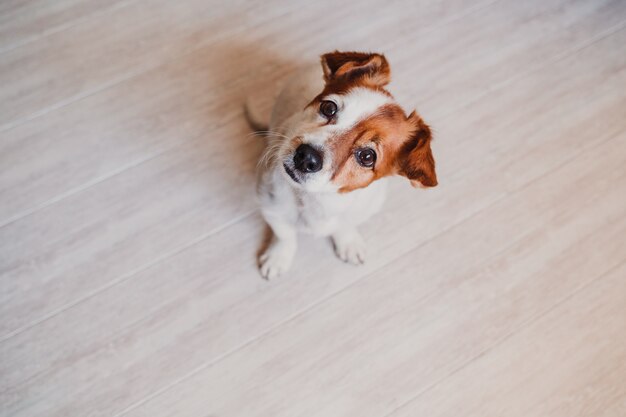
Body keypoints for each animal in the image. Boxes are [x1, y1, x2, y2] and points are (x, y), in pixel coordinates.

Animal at [251, 51, 436, 280]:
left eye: (367, 156)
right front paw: (278, 257)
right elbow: (285, 235)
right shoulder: (271, 208)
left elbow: (344, 227)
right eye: (329, 107)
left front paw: (348, 243)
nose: (306, 157)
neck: (316, 199)